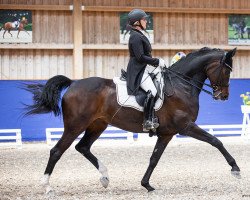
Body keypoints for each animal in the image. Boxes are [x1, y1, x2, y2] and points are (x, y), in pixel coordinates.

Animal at [23, 46, 240, 192]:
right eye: (226, 70)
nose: (223, 96)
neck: (181, 85)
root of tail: (73, 83)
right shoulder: (185, 126)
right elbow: (216, 141)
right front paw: (235, 168)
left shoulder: (167, 133)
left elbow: (154, 158)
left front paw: (146, 184)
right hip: (75, 126)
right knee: (56, 151)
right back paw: (47, 186)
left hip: (97, 125)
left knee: (82, 147)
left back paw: (105, 177)